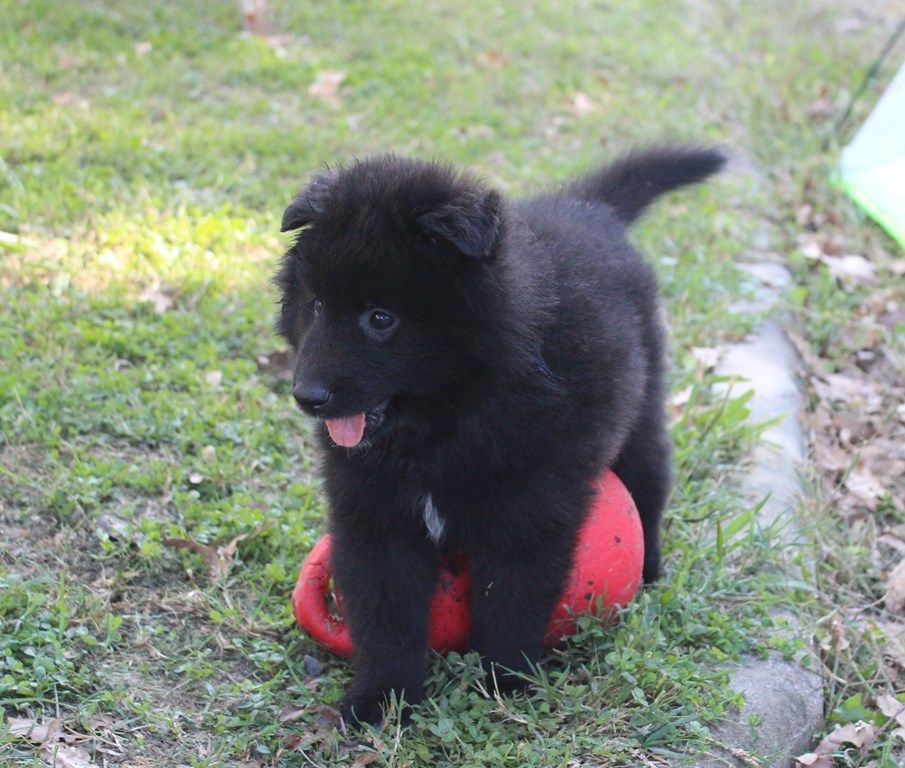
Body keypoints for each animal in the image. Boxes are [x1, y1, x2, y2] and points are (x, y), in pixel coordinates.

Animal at [274, 148, 720, 728]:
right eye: (317, 306)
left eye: (381, 317)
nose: (308, 396)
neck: (441, 428)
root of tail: (589, 208)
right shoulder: (373, 513)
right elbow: (385, 608)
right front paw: (382, 696)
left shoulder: (528, 512)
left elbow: (511, 601)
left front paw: (504, 683)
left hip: (642, 411)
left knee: (649, 478)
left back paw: (650, 568)